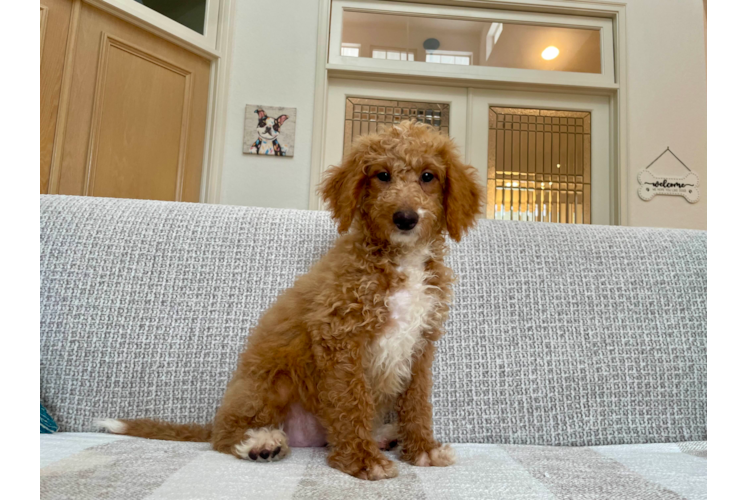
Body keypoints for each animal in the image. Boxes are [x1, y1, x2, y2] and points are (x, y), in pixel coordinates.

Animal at [98, 121, 480, 480]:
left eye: (428, 176)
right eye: (382, 175)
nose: (405, 218)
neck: (401, 259)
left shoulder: (420, 344)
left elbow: (417, 403)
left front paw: (422, 450)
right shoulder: (339, 336)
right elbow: (351, 401)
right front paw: (362, 460)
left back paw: (384, 435)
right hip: (271, 382)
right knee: (223, 435)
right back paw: (258, 442)